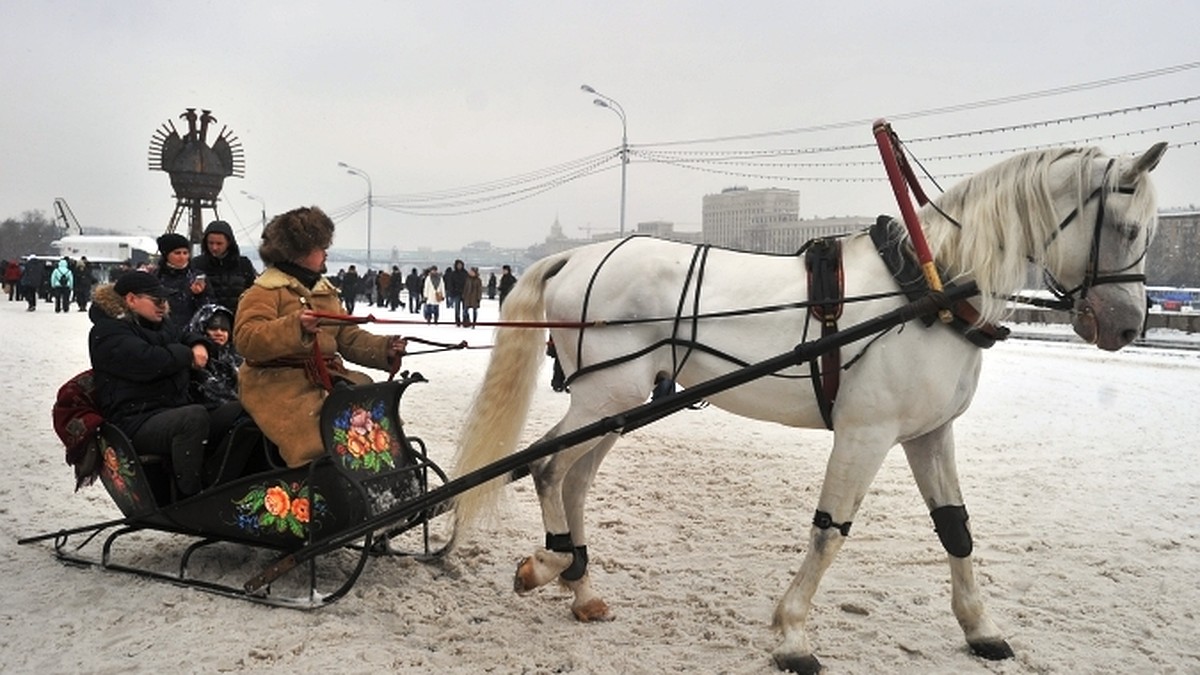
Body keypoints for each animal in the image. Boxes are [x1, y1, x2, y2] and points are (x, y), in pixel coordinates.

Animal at [448, 141, 1161, 667]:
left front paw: (980, 628)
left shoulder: (929, 433)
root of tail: (573, 256)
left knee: (570, 477)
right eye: (1127, 229)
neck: (926, 290)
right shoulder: (866, 433)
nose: (1128, 326)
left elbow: (956, 529)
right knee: (547, 467)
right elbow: (829, 533)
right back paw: (549, 563)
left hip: (619, 402)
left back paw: (581, 587)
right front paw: (792, 634)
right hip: (605, 396)